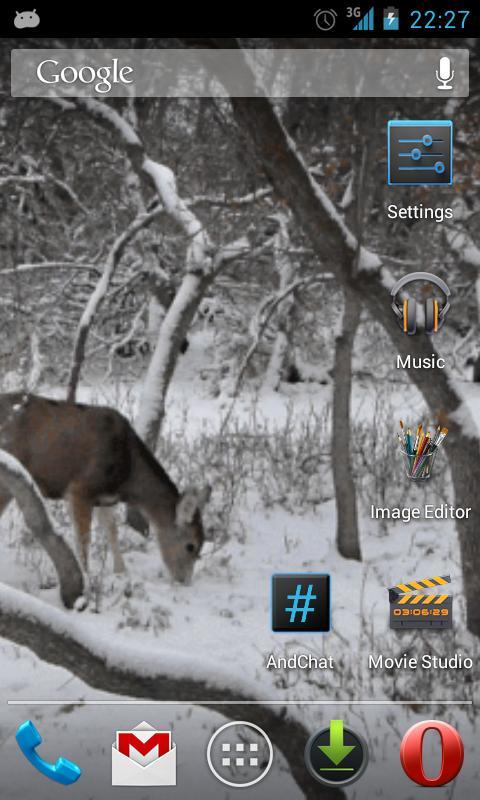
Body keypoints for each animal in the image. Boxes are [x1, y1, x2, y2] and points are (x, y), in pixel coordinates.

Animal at [0, 393, 211, 584]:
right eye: (191, 546)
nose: (184, 581)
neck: (127, 476)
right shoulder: (80, 488)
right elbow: (84, 539)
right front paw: (87, 576)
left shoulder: (104, 498)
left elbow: (111, 529)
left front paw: (121, 571)